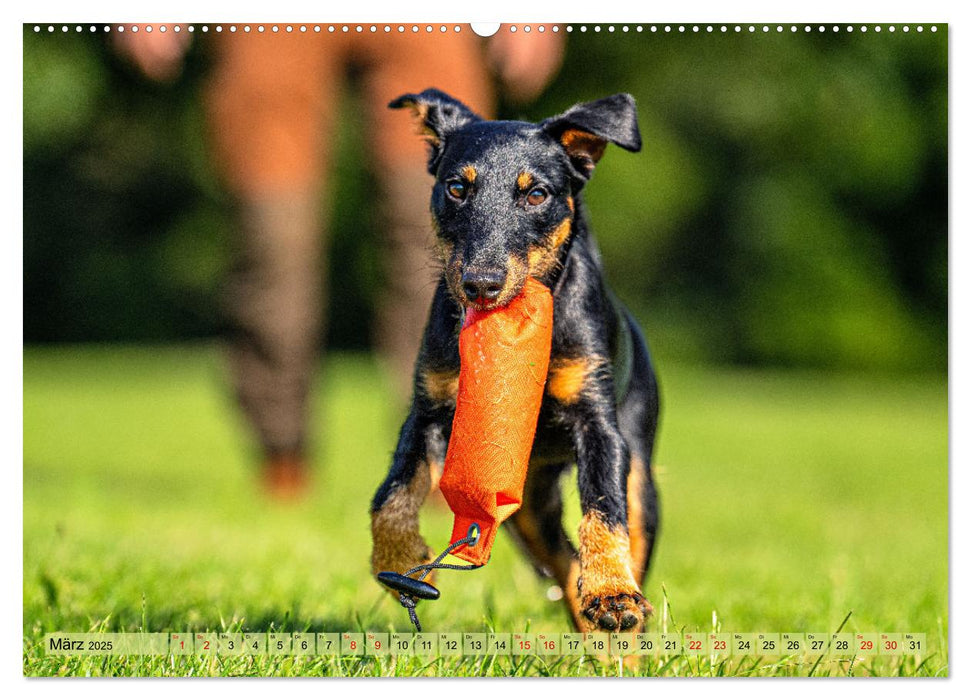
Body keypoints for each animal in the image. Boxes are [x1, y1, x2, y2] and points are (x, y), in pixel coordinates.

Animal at [370, 89, 660, 636]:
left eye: (537, 195)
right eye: (457, 188)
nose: (480, 285)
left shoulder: (599, 424)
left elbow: (603, 509)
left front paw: (612, 593)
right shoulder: (429, 409)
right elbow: (392, 492)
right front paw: (399, 561)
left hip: (641, 475)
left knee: (626, 533)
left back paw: (618, 620)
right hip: (527, 506)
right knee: (562, 560)